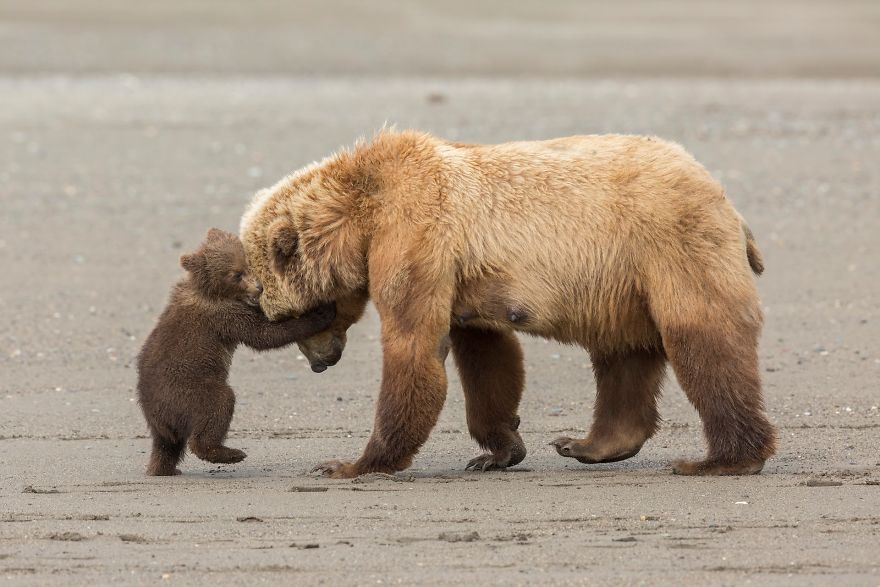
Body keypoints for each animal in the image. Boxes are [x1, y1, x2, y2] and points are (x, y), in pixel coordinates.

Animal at [136, 228, 335, 476]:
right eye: (236, 275)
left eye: (248, 263)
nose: (259, 287)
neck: (214, 291)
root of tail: (156, 417)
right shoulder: (224, 315)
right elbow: (264, 334)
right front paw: (321, 311)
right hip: (189, 390)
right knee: (218, 406)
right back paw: (231, 453)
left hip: (166, 422)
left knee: (167, 448)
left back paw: (166, 469)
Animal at [239, 129, 776, 478]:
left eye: (294, 317)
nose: (320, 363)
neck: (362, 215)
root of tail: (724, 198)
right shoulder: (462, 278)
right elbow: (487, 357)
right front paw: (498, 451)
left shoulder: (415, 237)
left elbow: (414, 345)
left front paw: (351, 463)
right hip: (622, 284)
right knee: (623, 355)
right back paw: (588, 444)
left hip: (669, 244)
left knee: (702, 336)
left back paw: (721, 459)